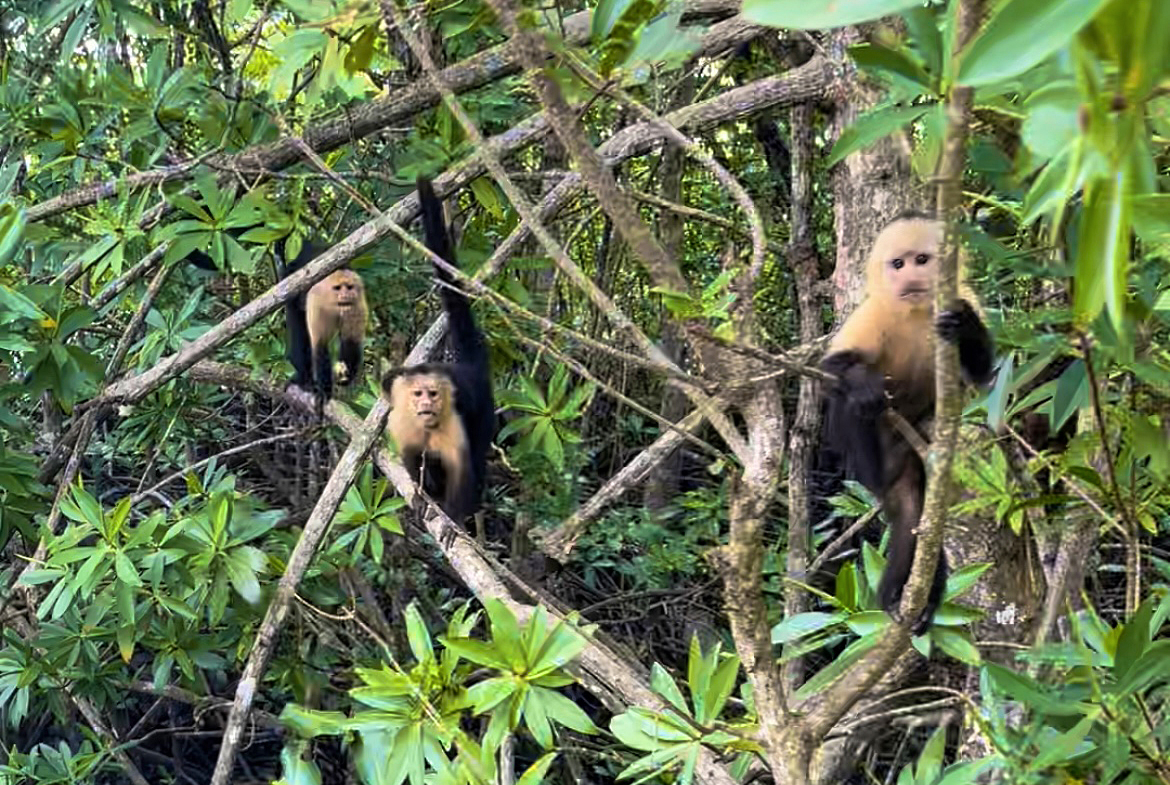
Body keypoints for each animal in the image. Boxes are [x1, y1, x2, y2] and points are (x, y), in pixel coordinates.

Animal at [381, 175, 494, 525]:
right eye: (418, 394)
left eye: (433, 393)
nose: (427, 404)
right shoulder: (401, 423)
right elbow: (409, 456)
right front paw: (422, 494)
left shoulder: (452, 423)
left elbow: (463, 472)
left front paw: (453, 519)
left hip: (483, 406)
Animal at [818, 212, 995, 635]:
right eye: (897, 264)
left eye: (922, 259)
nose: (909, 276)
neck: (915, 315)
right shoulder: (872, 314)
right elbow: (829, 371)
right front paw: (863, 385)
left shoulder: (963, 295)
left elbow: (981, 377)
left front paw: (963, 326)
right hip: (868, 461)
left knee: (921, 518)